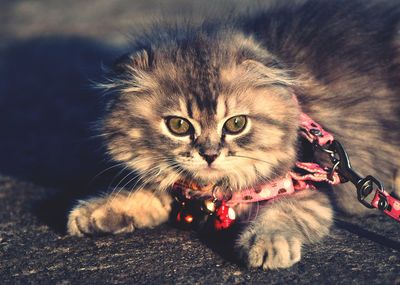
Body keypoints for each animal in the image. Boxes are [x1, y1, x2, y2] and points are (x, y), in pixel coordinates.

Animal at [66, 0, 400, 270]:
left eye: (236, 124)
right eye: (178, 126)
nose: (210, 154)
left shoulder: (306, 190)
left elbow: (282, 213)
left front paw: (266, 245)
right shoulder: (185, 192)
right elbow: (152, 193)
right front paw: (98, 211)